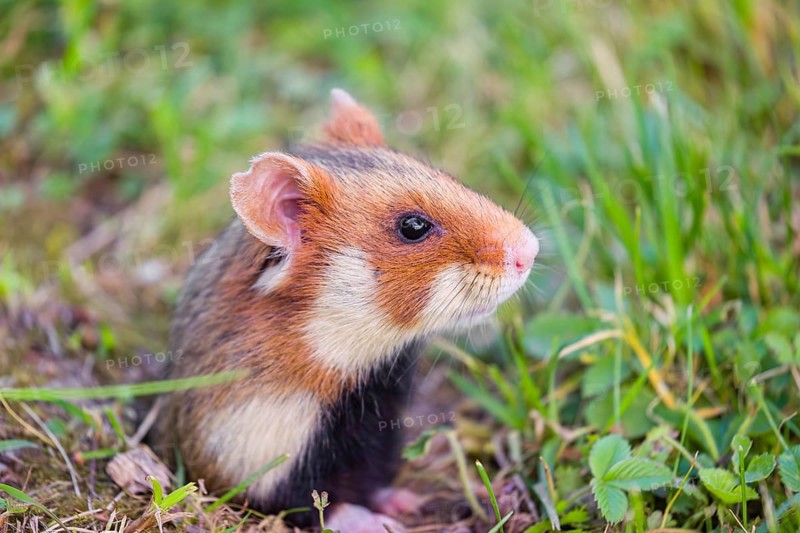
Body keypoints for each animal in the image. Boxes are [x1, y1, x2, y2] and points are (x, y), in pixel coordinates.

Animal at [153, 89, 538, 531]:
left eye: (445, 176)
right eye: (413, 227)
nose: (531, 251)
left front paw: (407, 502)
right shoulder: (257, 451)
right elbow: (315, 503)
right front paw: (377, 523)